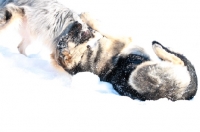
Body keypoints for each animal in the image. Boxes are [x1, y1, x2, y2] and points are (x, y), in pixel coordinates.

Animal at [0, 0, 197, 101]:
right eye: (73, 36)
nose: (78, 25)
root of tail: (185, 95)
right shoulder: (121, 39)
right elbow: (106, 29)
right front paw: (88, 17)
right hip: (140, 76)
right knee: (180, 62)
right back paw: (158, 47)